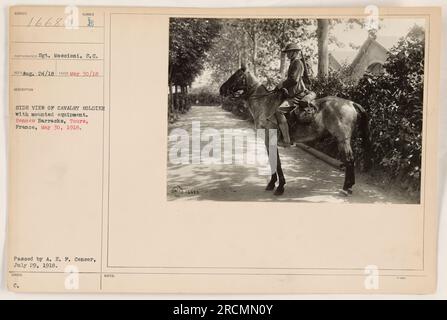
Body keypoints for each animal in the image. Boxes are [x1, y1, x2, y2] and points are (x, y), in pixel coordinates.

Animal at [219, 63, 372, 196]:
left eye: (236, 75)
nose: (221, 89)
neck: (264, 104)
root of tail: (350, 103)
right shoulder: (267, 141)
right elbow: (273, 160)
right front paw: (272, 183)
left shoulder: (271, 139)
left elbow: (277, 162)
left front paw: (279, 187)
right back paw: (349, 186)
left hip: (342, 139)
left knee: (350, 160)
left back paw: (346, 188)